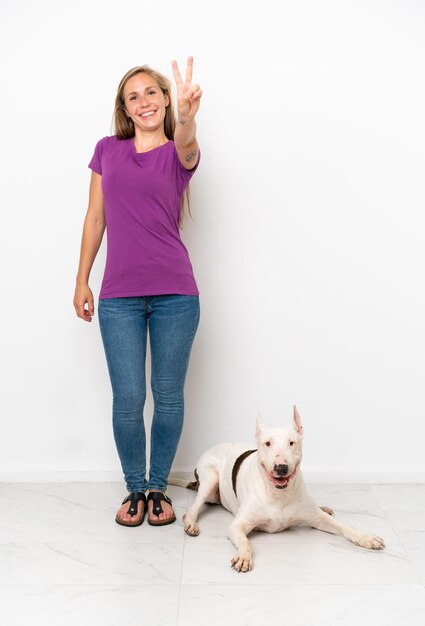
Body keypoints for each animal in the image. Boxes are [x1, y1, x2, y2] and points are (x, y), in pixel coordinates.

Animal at [176, 404, 384, 572]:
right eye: (267, 443)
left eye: (292, 442)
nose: (281, 467)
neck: (279, 494)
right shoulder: (238, 525)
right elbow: (245, 541)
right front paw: (244, 557)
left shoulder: (317, 519)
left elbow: (345, 526)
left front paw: (365, 538)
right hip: (210, 479)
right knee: (193, 508)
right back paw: (191, 523)